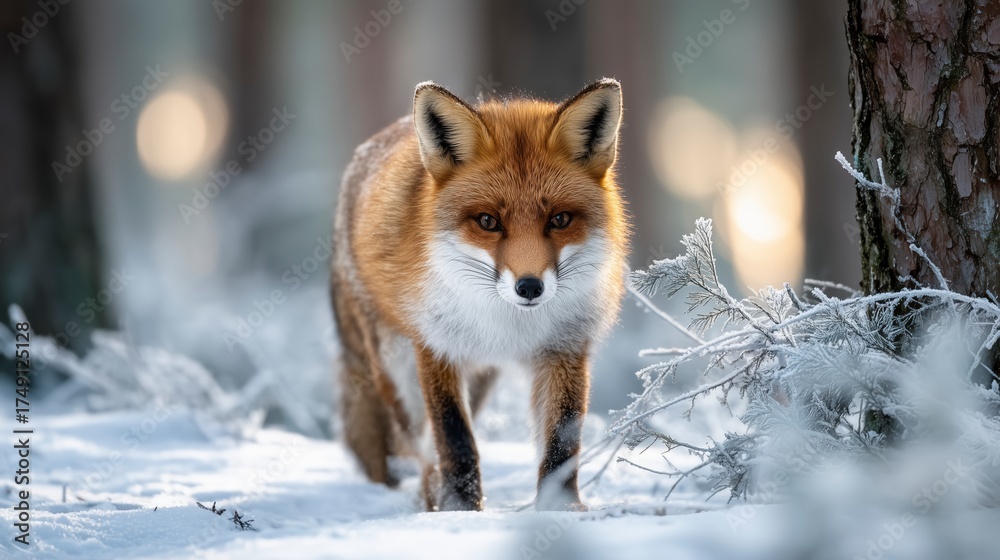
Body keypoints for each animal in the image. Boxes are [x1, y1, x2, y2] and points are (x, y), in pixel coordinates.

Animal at [330, 78, 629, 512]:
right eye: (488, 221)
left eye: (559, 219)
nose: (529, 286)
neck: (509, 323)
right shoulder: (437, 348)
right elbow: (454, 437)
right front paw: (461, 508)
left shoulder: (565, 348)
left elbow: (561, 439)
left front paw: (560, 507)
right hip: (395, 367)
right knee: (419, 445)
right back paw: (430, 499)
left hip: (480, 379)